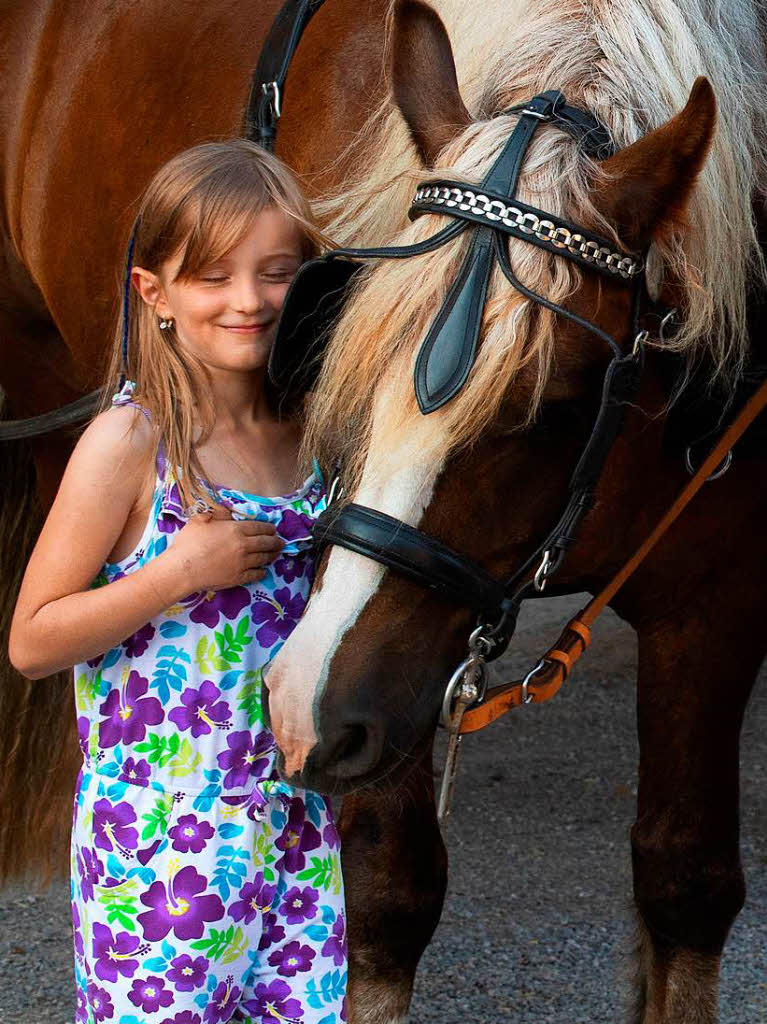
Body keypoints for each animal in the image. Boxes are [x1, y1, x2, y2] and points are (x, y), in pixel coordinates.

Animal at [264, 2, 765, 1024]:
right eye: (339, 351)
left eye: (557, 410)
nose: (302, 704)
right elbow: (385, 899)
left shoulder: (721, 593)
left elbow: (685, 881)